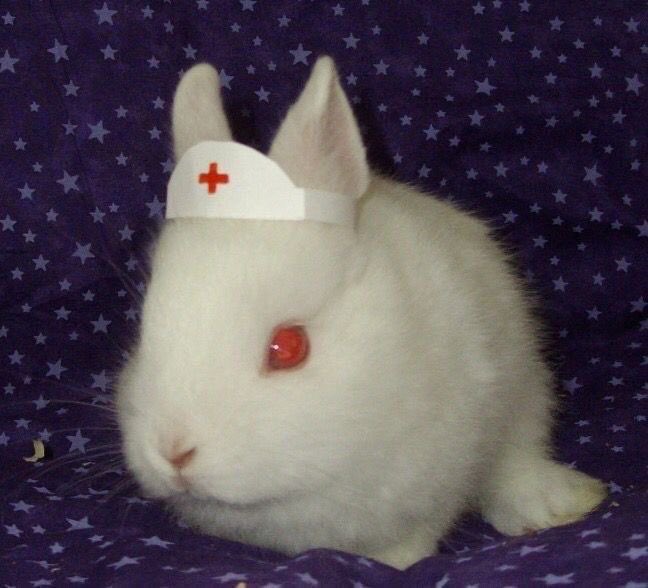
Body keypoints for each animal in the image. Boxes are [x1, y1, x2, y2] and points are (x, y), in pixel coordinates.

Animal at [115, 56, 607, 570]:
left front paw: (394, 564)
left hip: (525, 394)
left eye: (289, 347)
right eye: (144, 335)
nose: (173, 452)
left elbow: (413, 535)